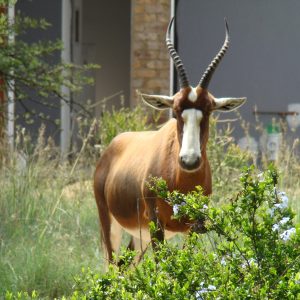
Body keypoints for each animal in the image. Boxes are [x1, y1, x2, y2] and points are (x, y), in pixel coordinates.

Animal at [94, 18, 246, 262]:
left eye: (209, 111)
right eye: (175, 111)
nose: (189, 160)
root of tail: (111, 148)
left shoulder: (193, 227)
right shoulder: (157, 224)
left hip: (139, 236)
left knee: (127, 266)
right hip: (111, 224)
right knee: (112, 266)